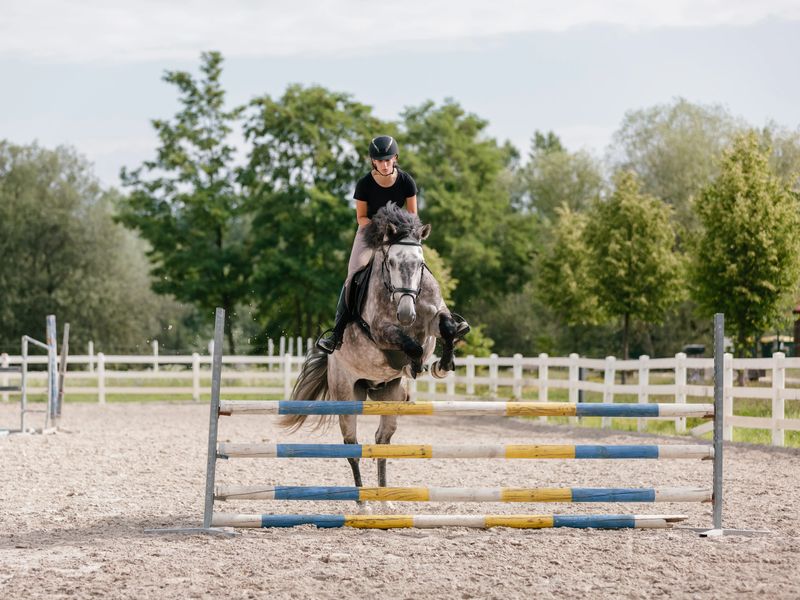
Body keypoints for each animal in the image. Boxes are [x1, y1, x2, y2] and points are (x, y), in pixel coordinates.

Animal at [283, 203, 460, 493]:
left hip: (389, 394)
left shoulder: (434, 317)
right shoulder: (380, 332)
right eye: (391, 263)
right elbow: (410, 345)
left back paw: (385, 497)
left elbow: (447, 328)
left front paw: (441, 365)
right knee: (352, 447)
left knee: (381, 442)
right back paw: (363, 499)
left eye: (420, 264)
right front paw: (415, 364)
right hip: (347, 395)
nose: (406, 314)